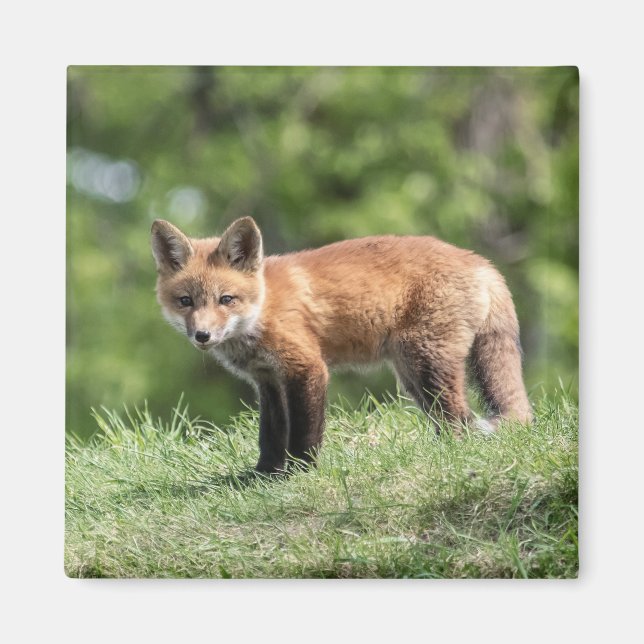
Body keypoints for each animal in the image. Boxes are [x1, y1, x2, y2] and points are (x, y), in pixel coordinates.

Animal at [151, 217, 532, 474]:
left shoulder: (307, 368)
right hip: (411, 374)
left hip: (426, 363)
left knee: (459, 418)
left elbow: (305, 431)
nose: (202, 336)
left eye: (226, 299)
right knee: (451, 417)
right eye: (185, 301)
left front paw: (300, 473)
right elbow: (270, 435)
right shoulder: (268, 380)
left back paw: (449, 455)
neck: (263, 308)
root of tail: (481, 262)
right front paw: (263, 475)